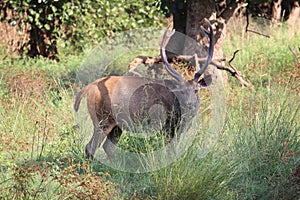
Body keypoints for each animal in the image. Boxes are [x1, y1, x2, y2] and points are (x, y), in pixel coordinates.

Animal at [74, 18, 214, 159]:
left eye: (196, 90)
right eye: (181, 91)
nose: (190, 104)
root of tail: (90, 87)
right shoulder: (164, 126)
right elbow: (168, 151)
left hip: (117, 125)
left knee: (107, 147)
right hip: (102, 119)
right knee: (90, 147)